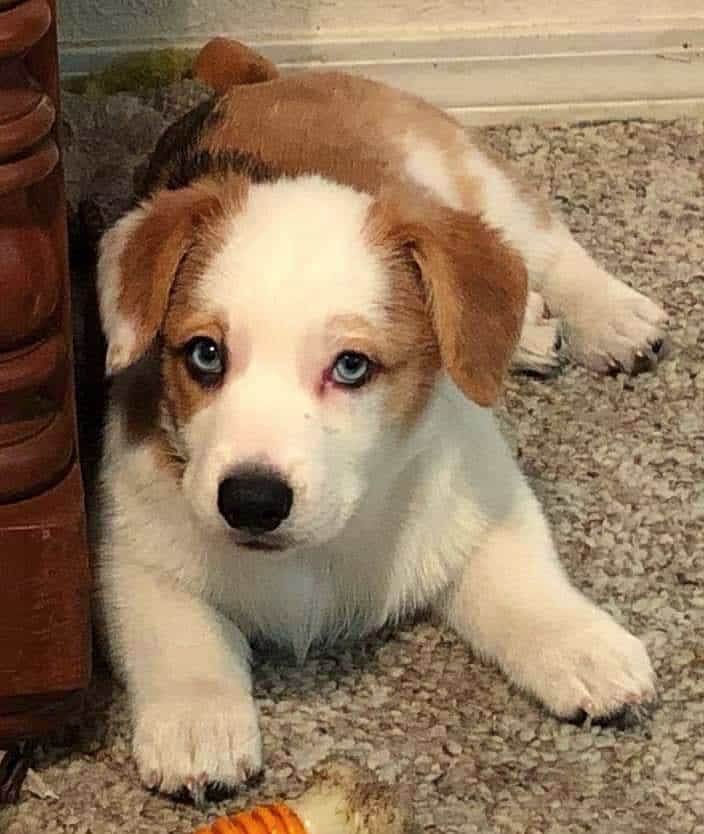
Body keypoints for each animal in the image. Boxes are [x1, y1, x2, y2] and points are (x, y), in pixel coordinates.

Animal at [97, 40, 664, 800]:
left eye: (351, 367)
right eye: (205, 354)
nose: (251, 501)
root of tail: (258, 81)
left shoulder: (483, 496)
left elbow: (524, 584)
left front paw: (583, 646)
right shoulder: (130, 538)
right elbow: (176, 631)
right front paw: (197, 721)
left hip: (475, 181)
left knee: (547, 247)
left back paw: (612, 317)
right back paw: (529, 334)